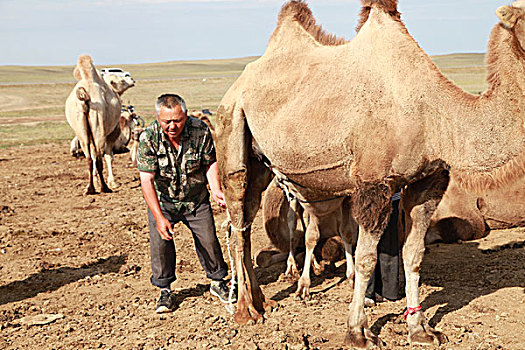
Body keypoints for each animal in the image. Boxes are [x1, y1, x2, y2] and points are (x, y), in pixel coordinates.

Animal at [65, 56, 134, 196]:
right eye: (121, 80)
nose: (132, 80)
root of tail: (84, 96)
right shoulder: (113, 133)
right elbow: (109, 156)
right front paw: (113, 182)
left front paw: (97, 182)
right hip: (98, 125)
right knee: (98, 158)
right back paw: (104, 187)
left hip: (81, 129)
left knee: (89, 158)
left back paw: (90, 188)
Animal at [216, 0, 524, 348]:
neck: (437, 116)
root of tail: (234, 89)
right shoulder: (374, 184)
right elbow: (366, 259)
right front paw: (357, 331)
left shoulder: (428, 181)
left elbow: (413, 254)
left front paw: (420, 329)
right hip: (231, 127)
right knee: (237, 222)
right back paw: (246, 312)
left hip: (262, 161)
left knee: (245, 221)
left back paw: (261, 302)